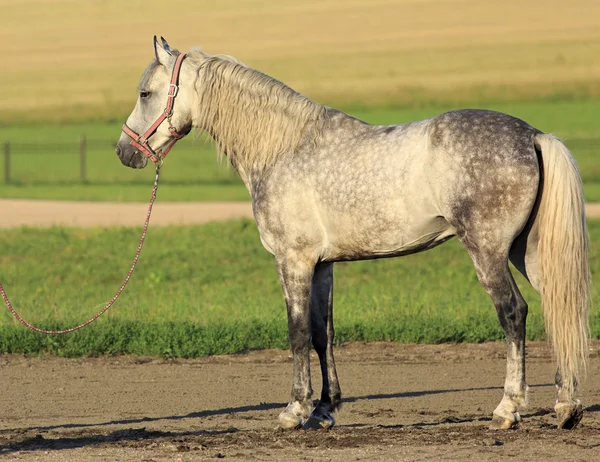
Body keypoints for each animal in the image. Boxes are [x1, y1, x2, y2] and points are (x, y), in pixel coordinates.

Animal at [116, 38, 592, 432]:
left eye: (145, 93)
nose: (124, 152)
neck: (284, 149)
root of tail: (533, 135)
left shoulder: (293, 261)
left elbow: (296, 332)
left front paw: (294, 411)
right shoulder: (323, 265)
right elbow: (322, 334)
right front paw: (324, 411)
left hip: (489, 251)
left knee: (513, 313)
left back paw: (508, 409)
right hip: (526, 252)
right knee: (559, 308)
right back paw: (566, 407)